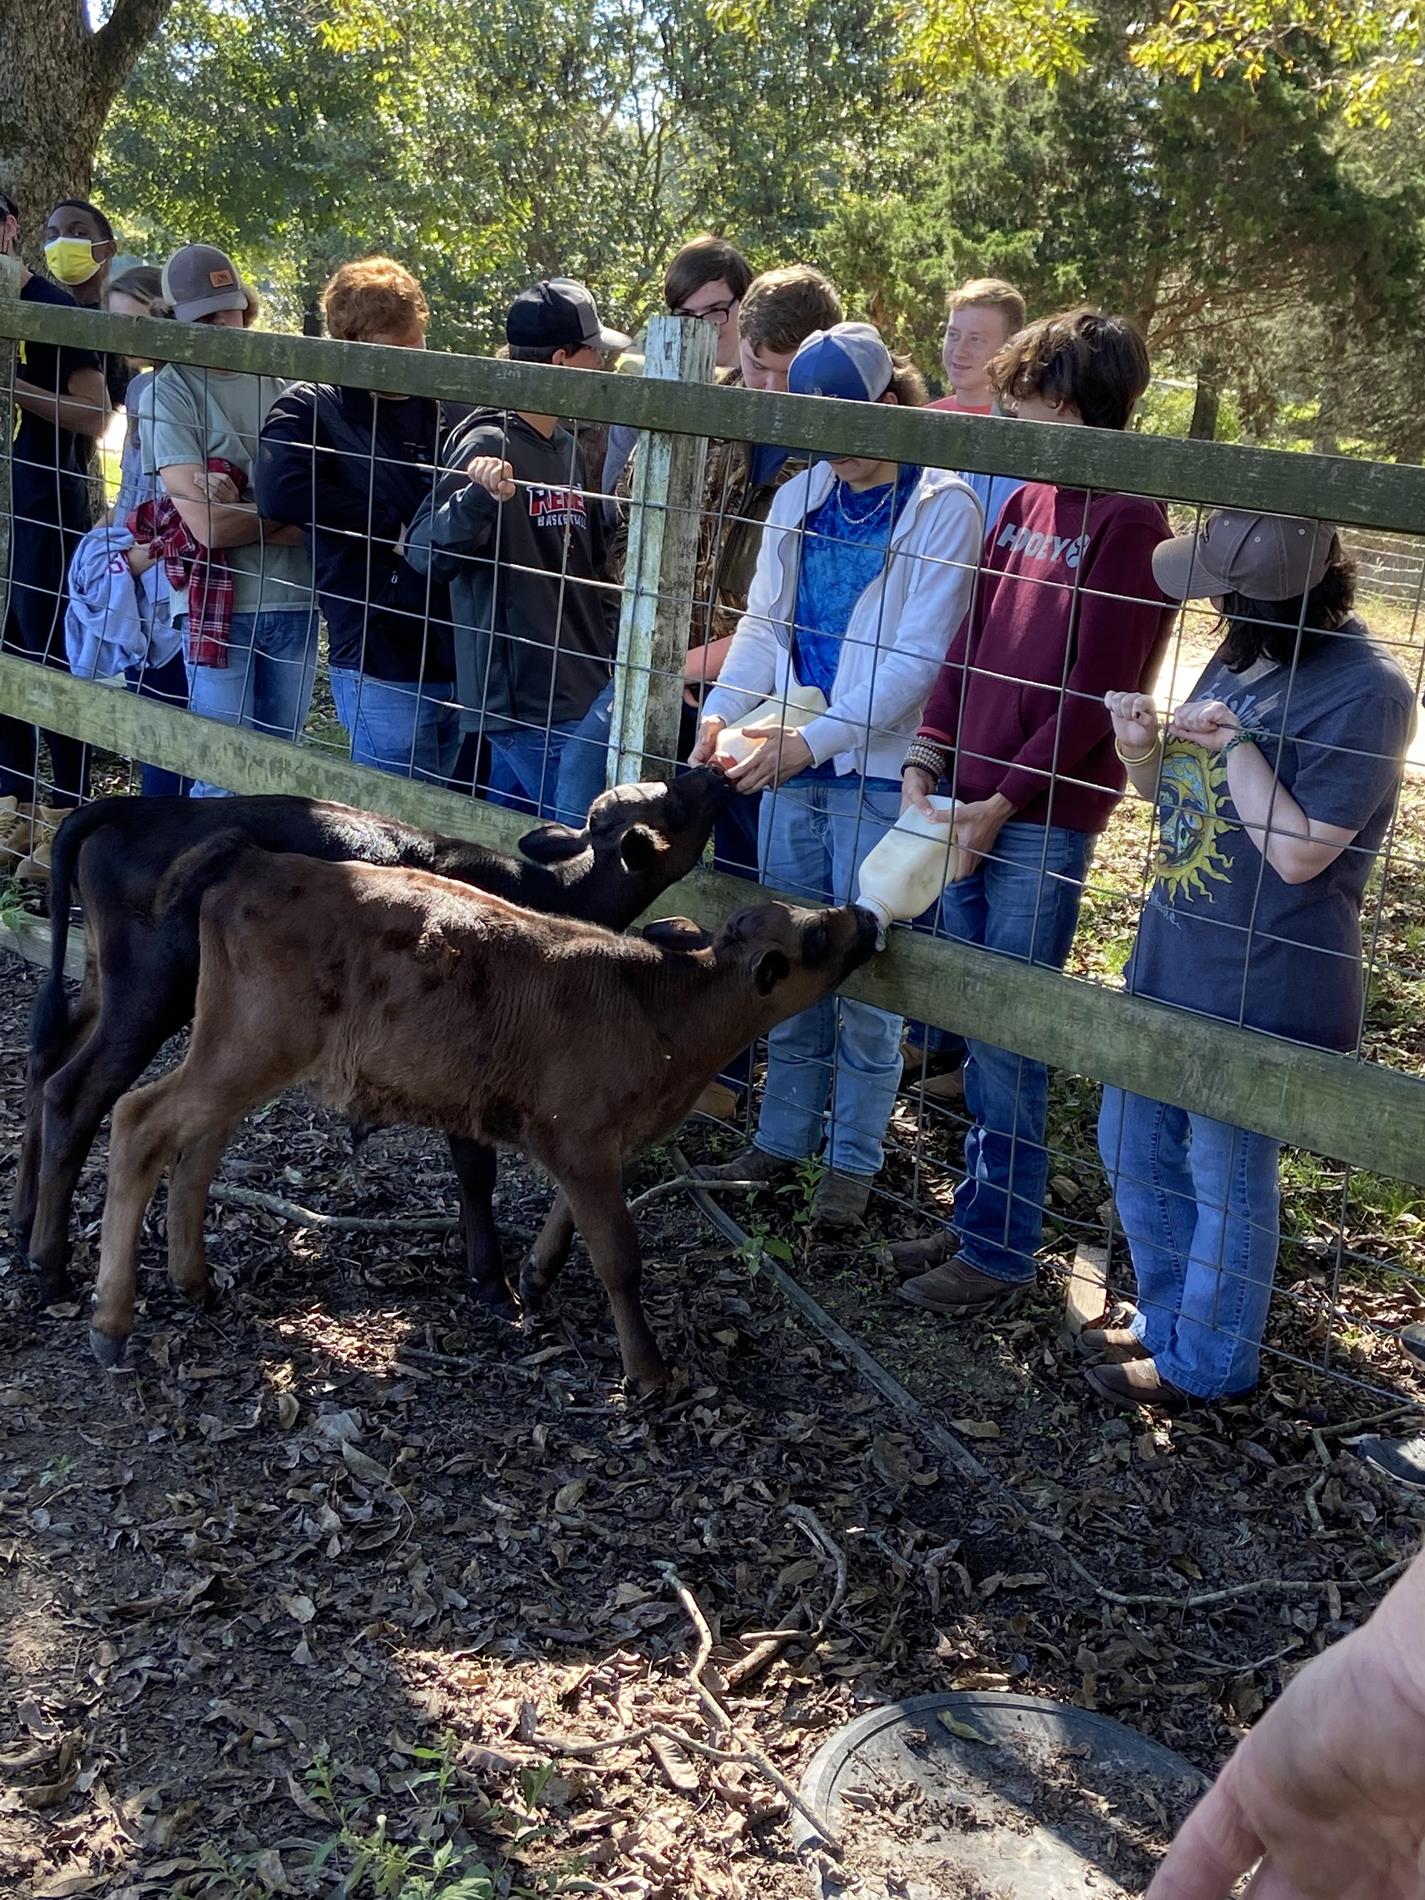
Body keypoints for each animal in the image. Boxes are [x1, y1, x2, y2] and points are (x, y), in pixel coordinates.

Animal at [92, 847, 881, 1398]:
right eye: (816, 939)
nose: (870, 918)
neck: (657, 1007)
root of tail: (255, 866)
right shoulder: (580, 1137)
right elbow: (618, 1255)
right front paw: (649, 1373)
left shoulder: (596, 1142)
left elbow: (572, 1220)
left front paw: (534, 1273)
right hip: (251, 1048)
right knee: (139, 1120)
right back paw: (112, 1322)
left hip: (240, 1049)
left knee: (199, 1143)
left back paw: (194, 1281)